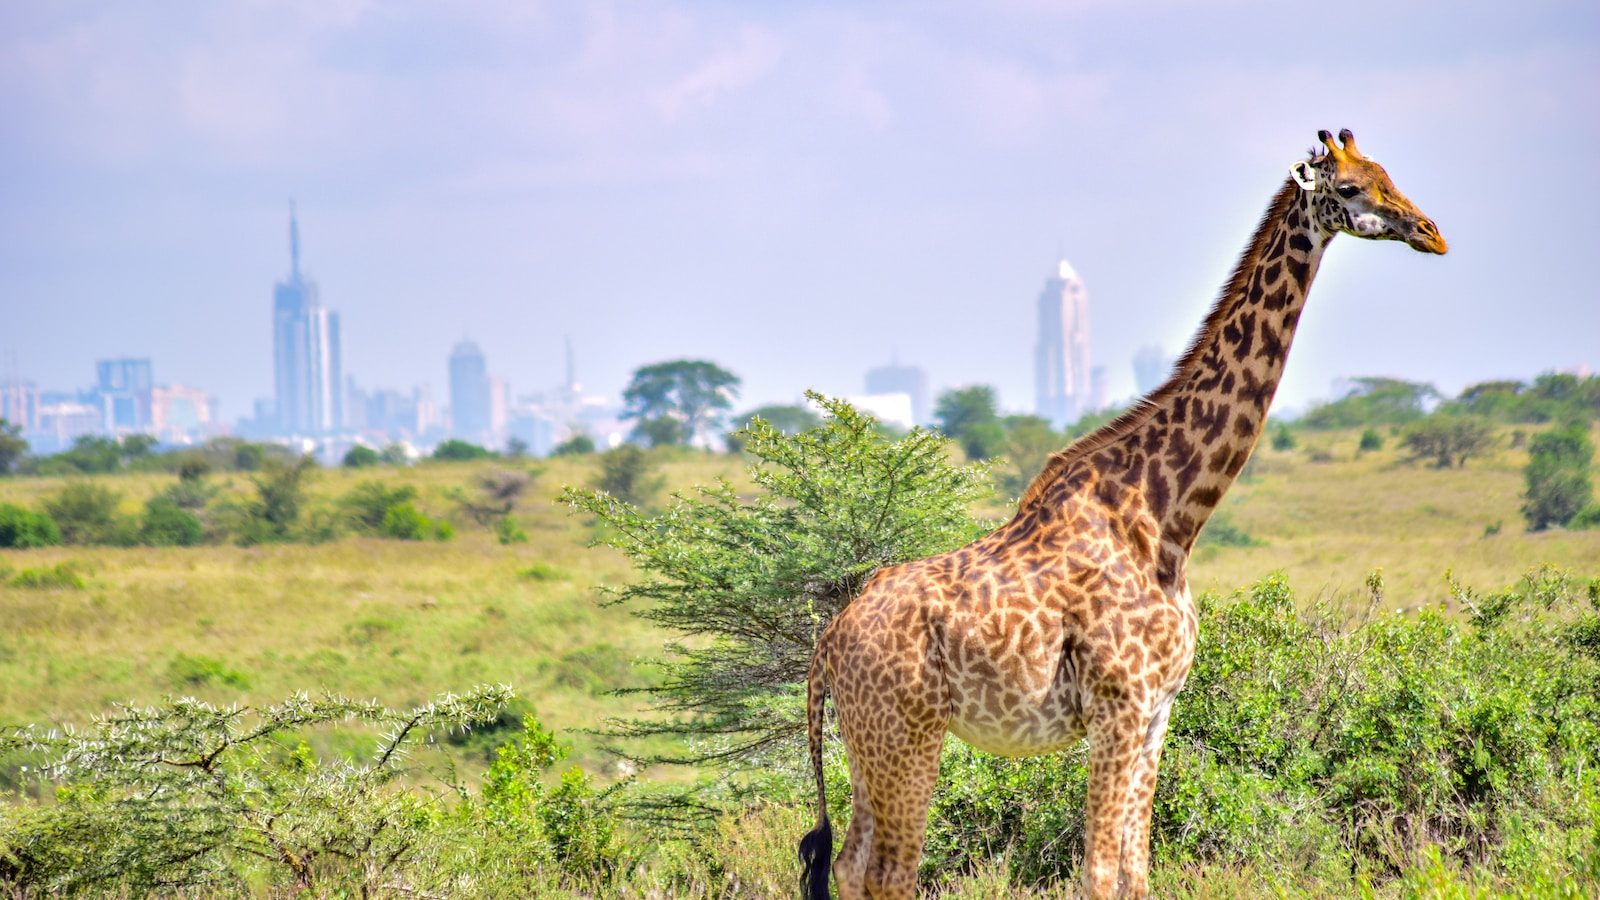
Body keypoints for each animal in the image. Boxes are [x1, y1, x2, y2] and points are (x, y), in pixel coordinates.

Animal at [796, 128, 1452, 896]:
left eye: (1386, 173)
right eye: (1348, 189)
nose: (1431, 233)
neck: (1168, 520)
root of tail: (828, 645)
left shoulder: (1158, 710)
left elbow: (1137, 870)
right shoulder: (1119, 704)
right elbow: (1100, 872)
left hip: (867, 743)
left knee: (850, 863)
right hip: (907, 734)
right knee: (891, 871)